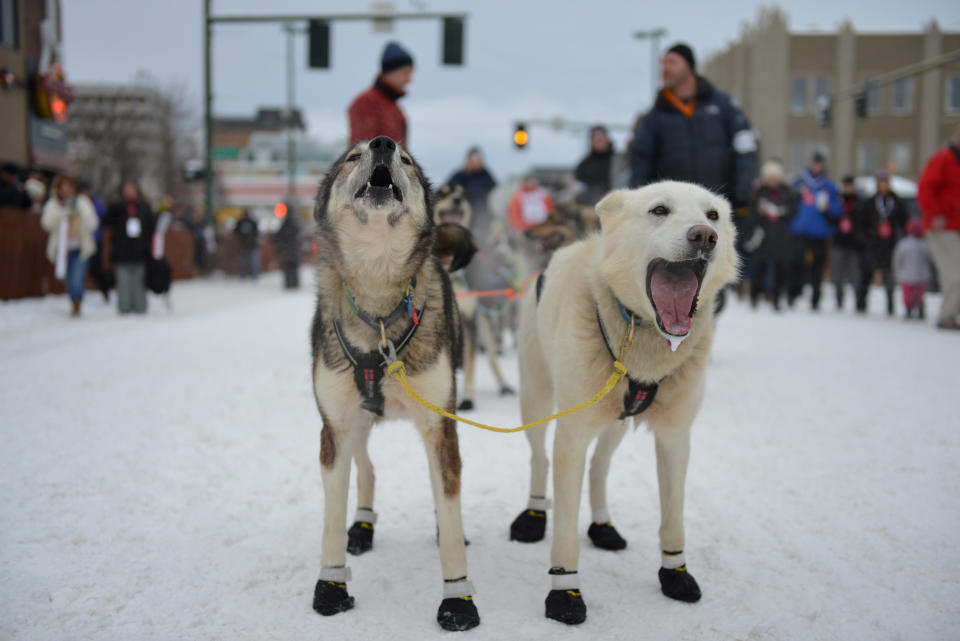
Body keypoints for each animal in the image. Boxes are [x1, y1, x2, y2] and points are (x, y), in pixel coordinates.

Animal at [308, 136, 480, 632]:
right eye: (352, 156)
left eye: (405, 159)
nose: (383, 142)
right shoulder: (335, 428)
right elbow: (331, 519)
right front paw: (330, 587)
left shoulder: (439, 424)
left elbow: (448, 506)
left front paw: (458, 600)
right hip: (355, 423)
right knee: (366, 468)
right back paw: (363, 525)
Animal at [512, 181, 740, 624]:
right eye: (659, 210)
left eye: (713, 215)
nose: (704, 236)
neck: (642, 340)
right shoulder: (571, 437)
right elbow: (564, 532)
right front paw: (564, 592)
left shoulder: (675, 438)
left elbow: (673, 518)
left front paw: (675, 573)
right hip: (537, 400)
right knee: (538, 459)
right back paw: (532, 516)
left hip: (614, 423)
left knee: (599, 468)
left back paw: (603, 524)